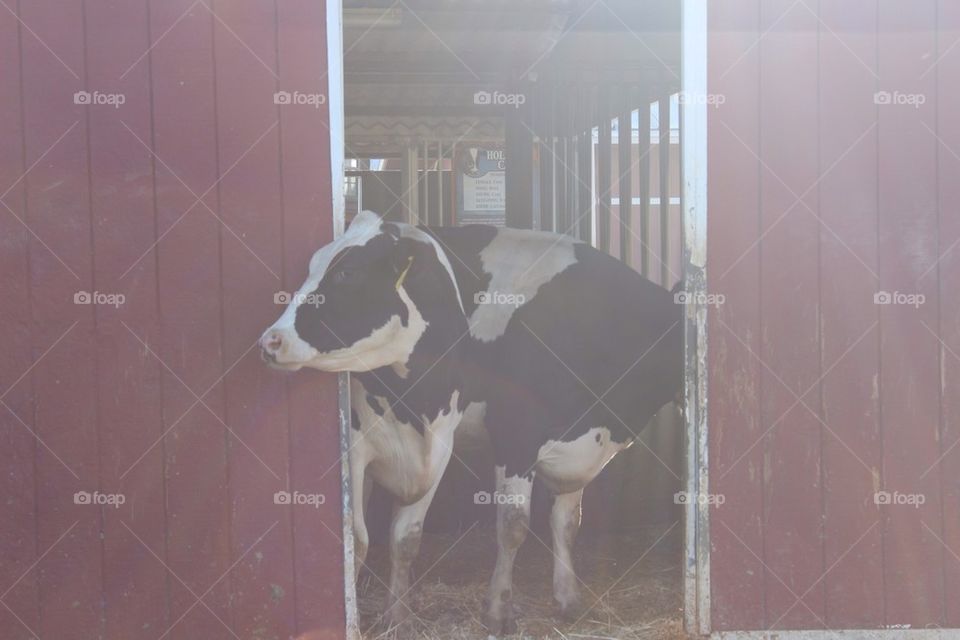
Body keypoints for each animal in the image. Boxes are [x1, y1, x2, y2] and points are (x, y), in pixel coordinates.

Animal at [260, 211, 684, 636]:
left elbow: (564, 524)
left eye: (346, 272)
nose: (271, 340)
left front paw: (567, 599)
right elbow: (510, 526)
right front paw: (497, 610)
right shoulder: (514, 436)